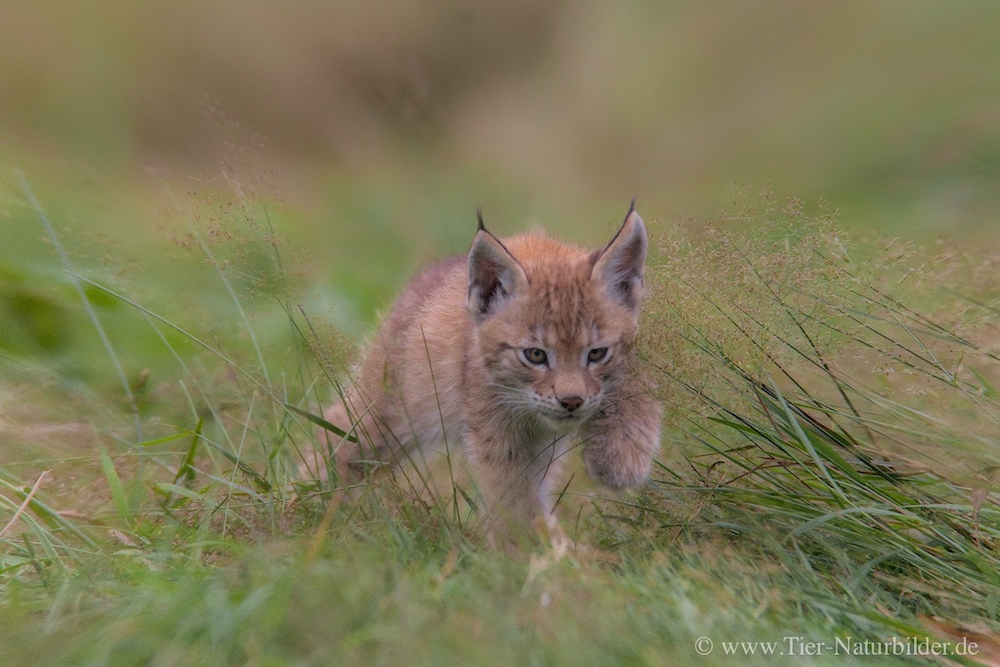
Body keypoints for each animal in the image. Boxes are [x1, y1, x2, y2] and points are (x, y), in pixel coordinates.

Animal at [322, 204, 664, 544]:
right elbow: (511, 496)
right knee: (338, 431)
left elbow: (638, 389)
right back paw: (316, 510)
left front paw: (621, 459)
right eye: (535, 355)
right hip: (394, 410)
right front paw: (530, 549)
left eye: (596, 354)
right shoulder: (494, 432)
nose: (571, 401)